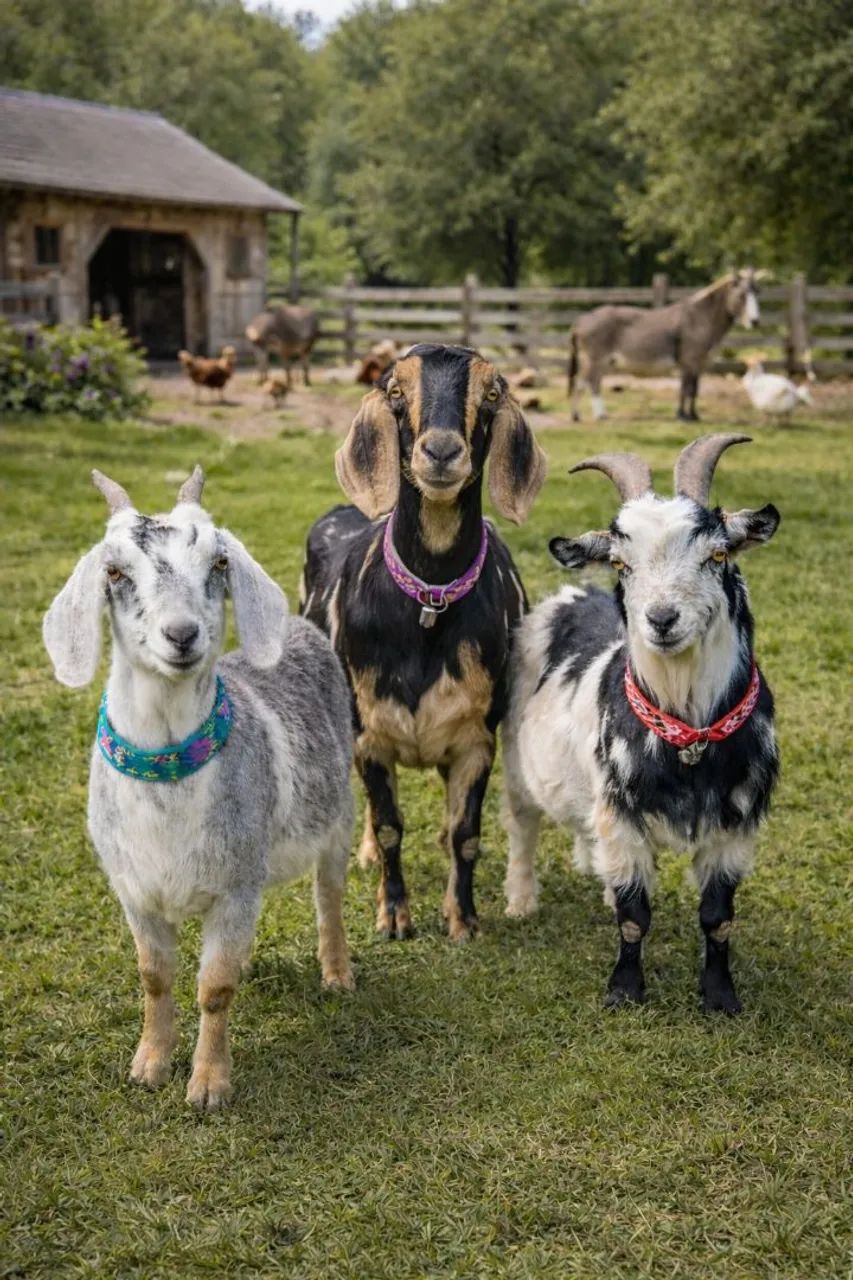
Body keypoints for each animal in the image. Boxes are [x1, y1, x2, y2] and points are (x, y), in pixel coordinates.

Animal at [43, 467, 354, 1110]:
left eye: (218, 562)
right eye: (114, 571)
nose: (182, 634)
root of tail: (299, 624)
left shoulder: (234, 887)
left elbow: (213, 988)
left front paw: (209, 1084)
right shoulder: (135, 892)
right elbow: (155, 978)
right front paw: (149, 1064)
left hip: (341, 817)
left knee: (329, 897)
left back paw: (337, 973)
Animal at [300, 344, 547, 942]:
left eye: (492, 392)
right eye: (395, 390)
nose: (440, 450)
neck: (428, 604)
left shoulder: (477, 738)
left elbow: (466, 832)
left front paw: (462, 919)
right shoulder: (368, 734)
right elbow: (389, 825)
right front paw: (394, 915)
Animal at [502, 435, 780, 1013]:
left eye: (718, 554)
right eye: (620, 563)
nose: (662, 619)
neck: (688, 739)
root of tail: (572, 593)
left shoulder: (736, 827)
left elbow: (717, 919)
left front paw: (720, 997)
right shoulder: (623, 816)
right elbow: (633, 916)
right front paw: (624, 991)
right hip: (516, 760)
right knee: (522, 825)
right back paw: (520, 899)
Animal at [569, 269, 765, 422]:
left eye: (757, 292)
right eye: (742, 296)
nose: (755, 322)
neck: (699, 319)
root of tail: (582, 319)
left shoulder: (700, 363)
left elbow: (695, 389)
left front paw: (694, 415)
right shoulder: (689, 360)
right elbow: (686, 388)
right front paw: (683, 416)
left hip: (601, 360)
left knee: (584, 382)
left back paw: (578, 416)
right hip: (595, 358)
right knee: (591, 382)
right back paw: (599, 415)